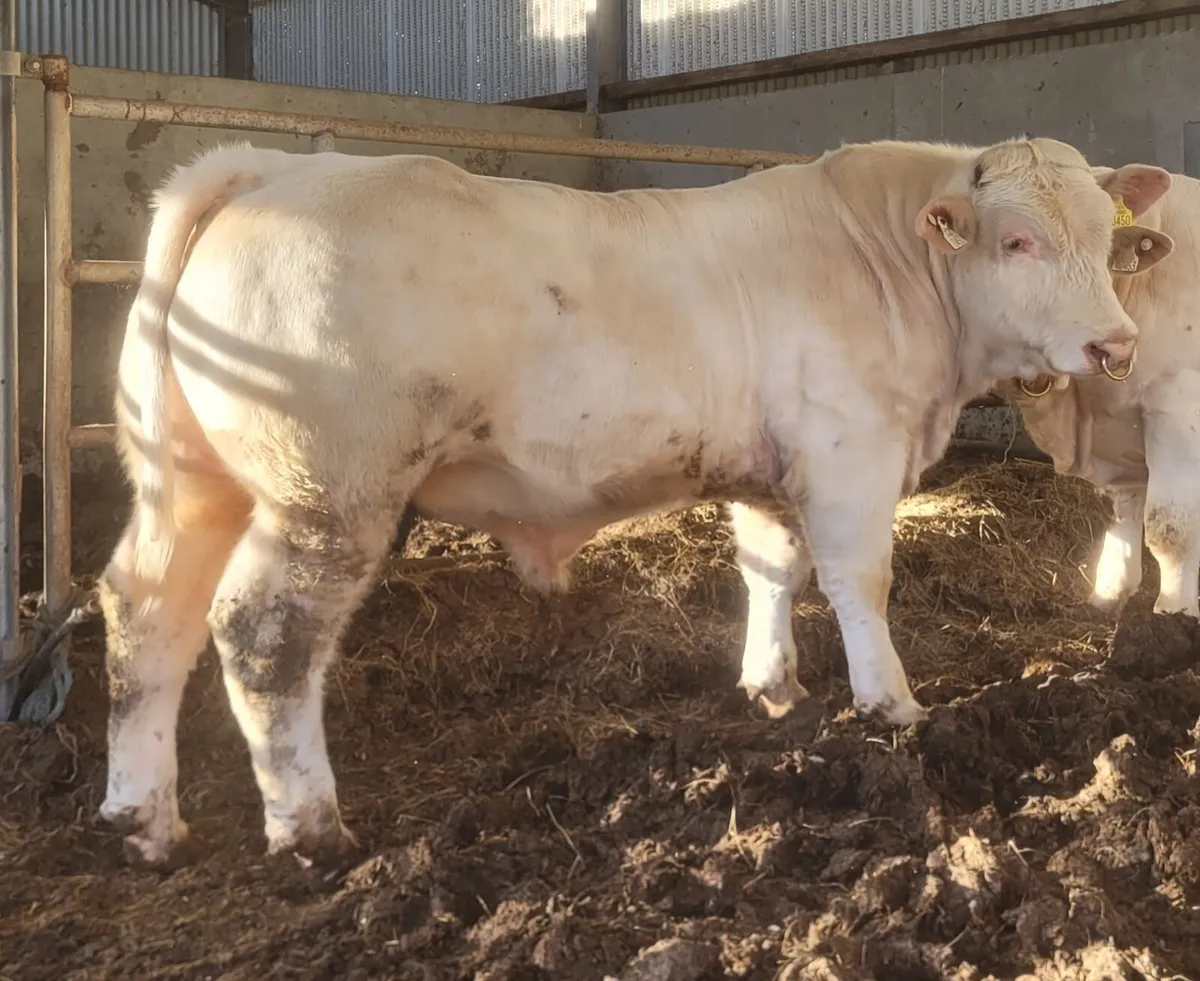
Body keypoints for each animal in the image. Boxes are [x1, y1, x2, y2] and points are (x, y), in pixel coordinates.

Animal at [97, 137, 1169, 865]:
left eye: (1107, 243)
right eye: (1019, 239)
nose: (1115, 344)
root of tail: (270, 169)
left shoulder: (770, 467)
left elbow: (773, 569)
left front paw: (773, 688)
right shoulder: (849, 447)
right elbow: (860, 580)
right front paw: (892, 704)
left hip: (193, 484)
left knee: (146, 610)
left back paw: (142, 815)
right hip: (328, 489)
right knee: (263, 632)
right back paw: (310, 825)